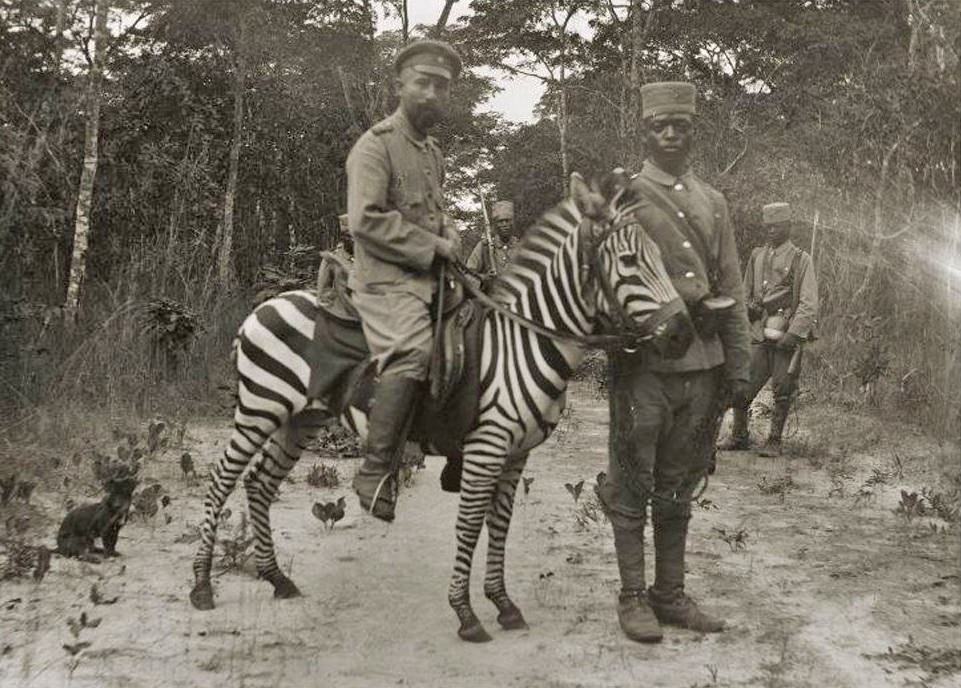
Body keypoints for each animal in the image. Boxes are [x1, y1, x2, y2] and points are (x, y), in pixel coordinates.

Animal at [189, 169, 688, 644]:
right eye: (629, 261)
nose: (683, 330)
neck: (521, 342)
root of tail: (263, 308)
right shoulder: (486, 447)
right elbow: (468, 525)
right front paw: (466, 615)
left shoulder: (516, 455)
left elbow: (499, 526)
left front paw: (503, 604)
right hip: (259, 409)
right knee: (221, 481)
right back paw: (202, 587)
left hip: (300, 418)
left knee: (259, 484)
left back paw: (277, 579)